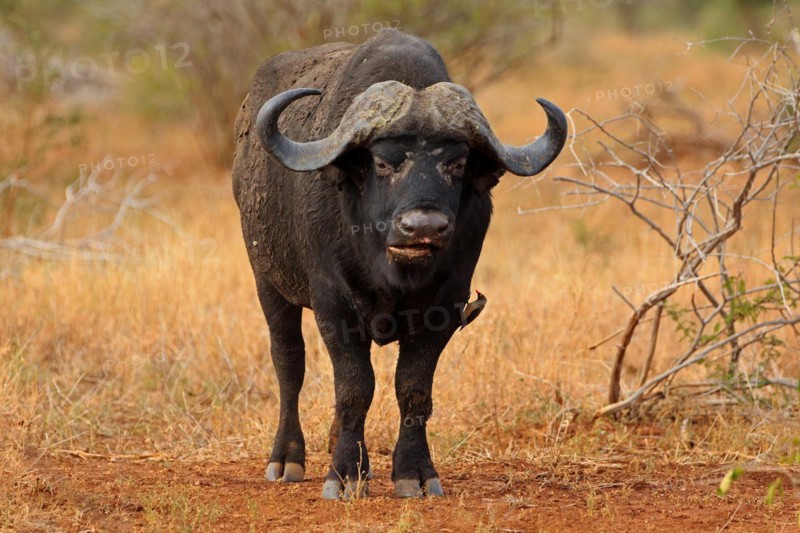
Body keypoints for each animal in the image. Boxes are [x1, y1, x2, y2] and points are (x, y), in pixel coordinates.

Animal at [232, 29, 566, 499]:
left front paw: (414, 472)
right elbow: (354, 387)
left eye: (457, 163)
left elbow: (413, 387)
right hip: (268, 281)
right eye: (382, 162)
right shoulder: (333, 303)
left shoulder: (447, 306)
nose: (422, 228)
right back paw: (286, 458)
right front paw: (345, 474)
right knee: (288, 363)